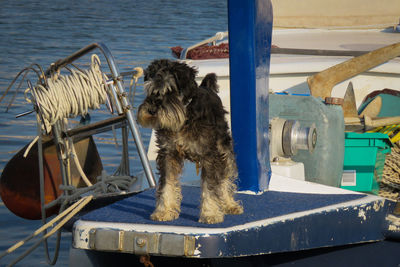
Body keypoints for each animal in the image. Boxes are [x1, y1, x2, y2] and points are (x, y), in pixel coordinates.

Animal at [138, 59, 244, 225]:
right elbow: (166, 184)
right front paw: (164, 211)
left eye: (170, 90)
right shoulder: (168, 154)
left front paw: (210, 213)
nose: (152, 110)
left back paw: (229, 204)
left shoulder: (209, 155)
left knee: (225, 178)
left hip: (224, 149)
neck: (185, 116)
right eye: (150, 90)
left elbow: (210, 186)